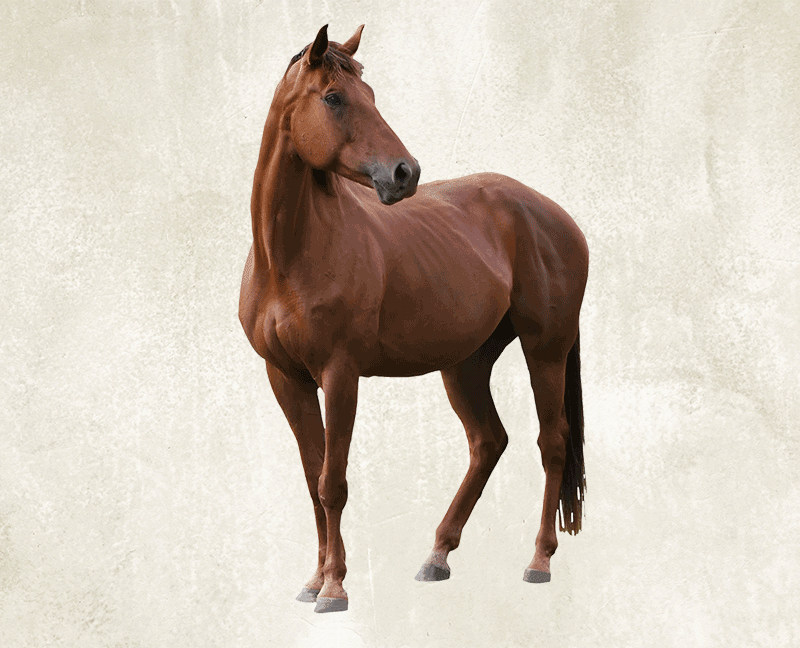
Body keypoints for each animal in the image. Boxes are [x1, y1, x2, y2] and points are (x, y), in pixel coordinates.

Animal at [239, 24, 589, 613]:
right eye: (334, 98)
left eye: (371, 95)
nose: (405, 173)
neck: (290, 254)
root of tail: (558, 217)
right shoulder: (286, 378)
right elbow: (313, 478)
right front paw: (313, 580)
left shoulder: (340, 375)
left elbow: (333, 482)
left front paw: (334, 587)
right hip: (465, 364)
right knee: (488, 442)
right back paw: (437, 556)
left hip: (546, 352)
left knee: (553, 443)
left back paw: (538, 561)